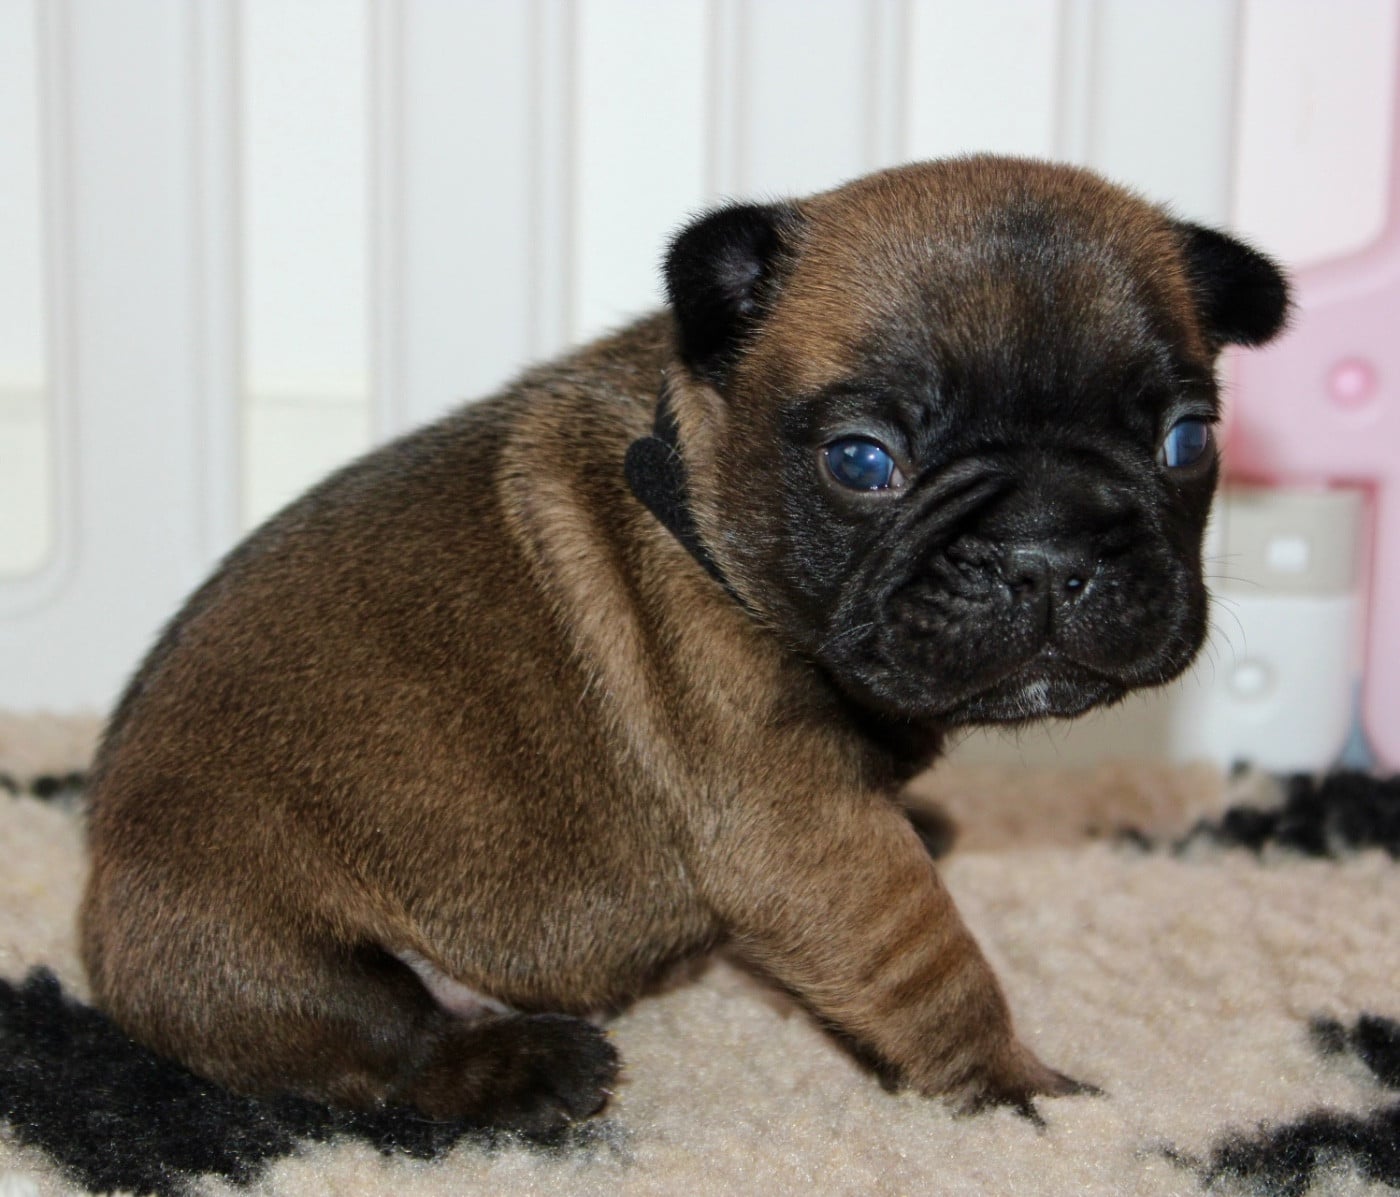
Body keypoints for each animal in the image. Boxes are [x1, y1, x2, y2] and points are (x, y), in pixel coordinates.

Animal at [80, 156, 1289, 1132]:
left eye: (1187, 440)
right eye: (862, 461)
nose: (1044, 551)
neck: (702, 493)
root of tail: (102, 871)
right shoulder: (805, 834)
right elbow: (931, 967)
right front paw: (1016, 1091)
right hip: (250, 946)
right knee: (384, 1043)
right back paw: (529, 1065)